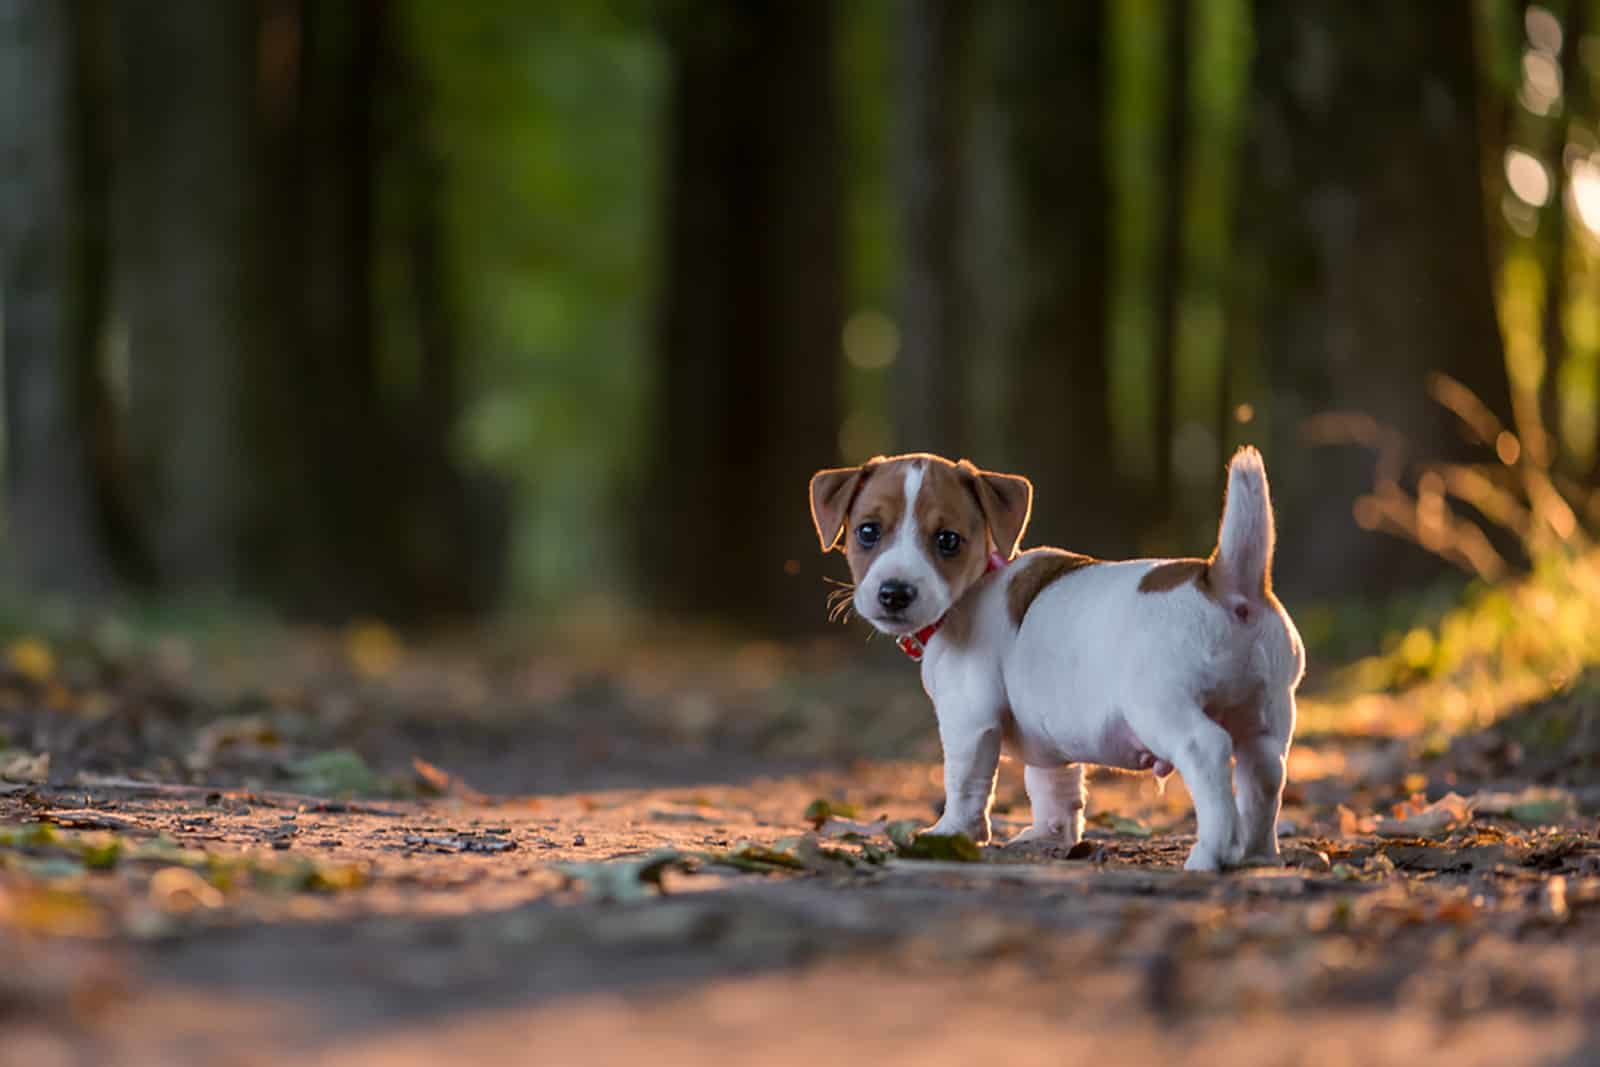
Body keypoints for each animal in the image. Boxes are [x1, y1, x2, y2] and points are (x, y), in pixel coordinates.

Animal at [812, 447, 1299, 870]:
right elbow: (1053, 785)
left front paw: (952, 832)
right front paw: (1051, 833)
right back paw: (1257, 853)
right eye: (868, 531)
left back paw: (1212, 854)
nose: (894, 593)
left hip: (1163, 709)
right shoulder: (1050, 742)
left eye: (948, 540)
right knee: (1264, 775)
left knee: (1209, 750)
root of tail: (1226, 585)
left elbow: (965, 783)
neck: (975, 587)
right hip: (1265, 717)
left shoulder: (969, 720)